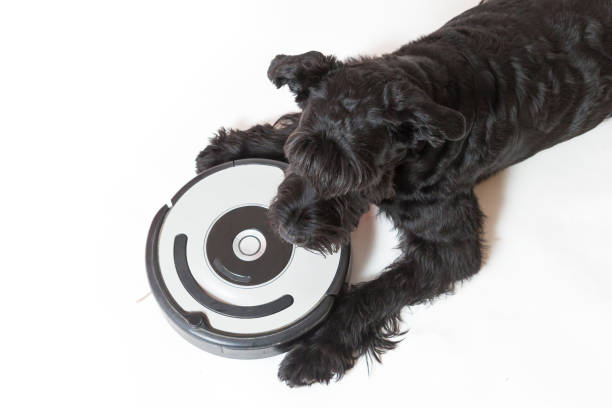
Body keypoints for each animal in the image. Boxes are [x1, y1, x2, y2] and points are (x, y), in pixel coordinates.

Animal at [197, 0, 612, 386]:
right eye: (300, 154)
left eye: (357, 179)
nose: (289, 231)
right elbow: (289, 125)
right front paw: (229, 149)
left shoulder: (448, 248)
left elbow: (373, 294)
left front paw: (317, 350)